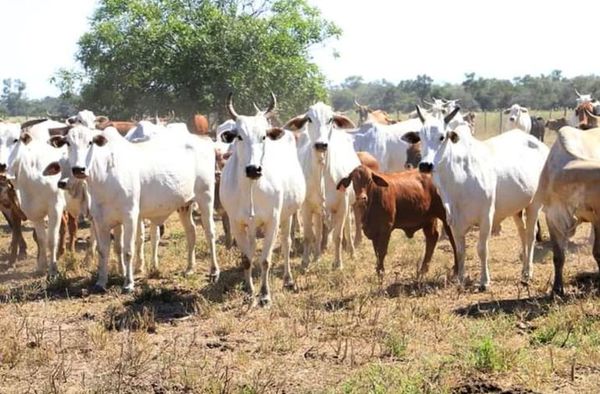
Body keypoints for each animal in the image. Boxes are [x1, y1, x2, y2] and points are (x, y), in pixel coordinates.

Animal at [48, 124, 218, 290]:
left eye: (90, 142)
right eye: (68, 143)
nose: (79, 169)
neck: (105, 175)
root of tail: (204, 139)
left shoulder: (129, 216)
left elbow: (128, 250)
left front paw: (128, 283)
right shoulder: (100, 220)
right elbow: (103, 251)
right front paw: (101, 282)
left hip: (206, 198)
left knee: (210, 233)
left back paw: (214, 271)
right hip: (184, 204)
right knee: (191, 232)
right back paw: (190, 268)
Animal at [219, 91, 304, 304]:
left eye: (263, 136)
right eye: (239, 136)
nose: (253, 169)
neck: (251, 187)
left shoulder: (272, 221)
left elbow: (265, 259)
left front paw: (265, 294)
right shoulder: (236, 223)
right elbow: (246, 259)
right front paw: (249, 291)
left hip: (287, 215)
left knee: (286, 244)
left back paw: (288, 279)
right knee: (251, 248)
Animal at [286, 101, 360, 270]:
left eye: (331, 119)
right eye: (309, 119)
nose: (321, 145)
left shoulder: (342, 205)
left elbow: (338, 236)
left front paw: (338, 263)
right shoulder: (306, 207)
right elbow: (309, 236)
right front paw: (305, 262)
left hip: (347, 205)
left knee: (347, 227)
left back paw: (352, 252)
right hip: (318, 209)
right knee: (319, 231)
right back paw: (316, 256)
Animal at [412, 106, 548, 288]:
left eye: (442, 136)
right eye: (420, 137)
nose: (425, 165)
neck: (458, 179)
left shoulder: (486, 217)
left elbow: (482, 249)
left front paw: (484, 280)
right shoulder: (453, 220)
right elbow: (460, 251)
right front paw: (460, 279)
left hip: (534, 204)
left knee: (531, 235)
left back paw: (529, 272)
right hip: (516, 208)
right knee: (522, 233)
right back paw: (524, 268)